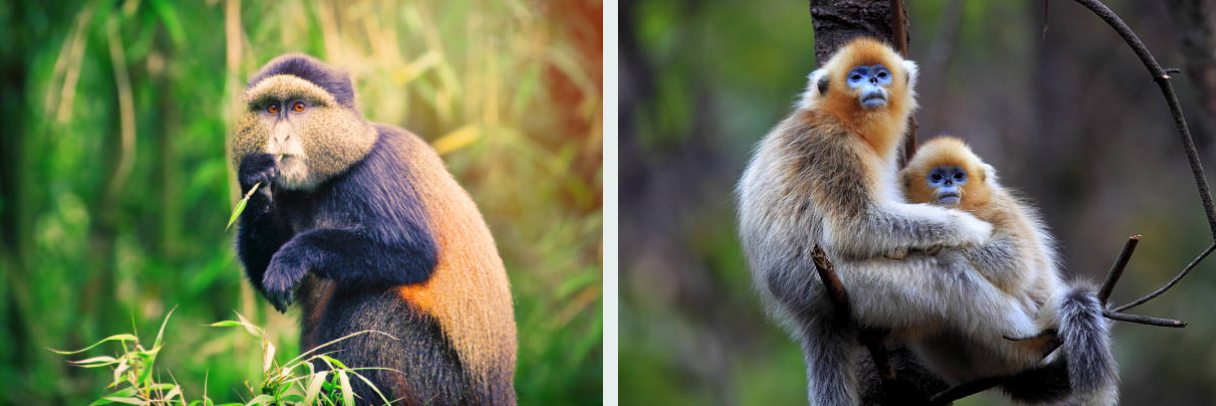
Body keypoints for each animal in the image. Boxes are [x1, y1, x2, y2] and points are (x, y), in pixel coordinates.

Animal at [232, 54, 516, 406]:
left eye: (298, 107)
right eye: (272, 108)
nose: (280, 137)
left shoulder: (377, 172)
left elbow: (415, 253)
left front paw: (294, 258)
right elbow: (263, 271)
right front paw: (253, 177)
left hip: (438, 382)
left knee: (372, 303)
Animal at [737, 37, 1060, 405]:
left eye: (881, 74)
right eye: (856, 77)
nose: (872, 84)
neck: (834, 118)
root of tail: (802, 310)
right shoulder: (832, 145)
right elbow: (856, 225)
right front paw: (970, 228)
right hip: (847, 287)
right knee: (952, 274)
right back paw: (1033, 340)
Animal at [896, 137, 1118, 405]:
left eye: (959, 176)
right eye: (937, 177)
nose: (948, 183)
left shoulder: (999, 207)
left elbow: (1014, 263)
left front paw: (934, 243)